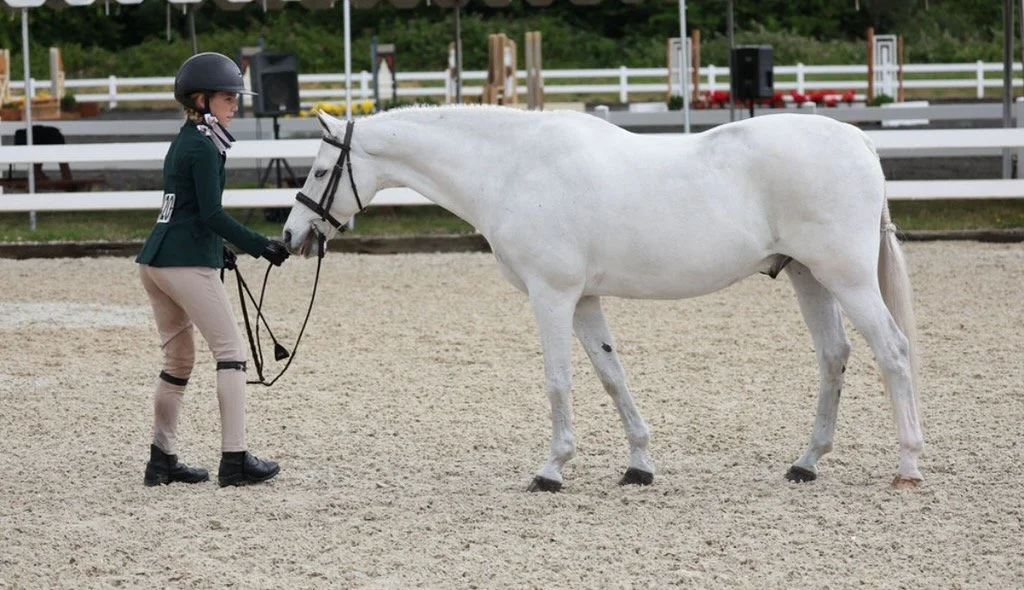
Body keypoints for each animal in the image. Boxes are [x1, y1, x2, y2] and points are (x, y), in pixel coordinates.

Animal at [282, 105, 924, 491]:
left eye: (319, 172)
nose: (291, 237)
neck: (513, 169)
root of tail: (860, 141)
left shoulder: (552, 295)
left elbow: (558, 380)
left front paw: (551, 469)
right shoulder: (585, 299)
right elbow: (612, 375)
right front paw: (639, 464)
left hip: (846, 277)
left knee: (892, 352)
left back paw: (908, 466)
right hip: (808, 277)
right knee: (834, 356)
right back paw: (806, 462)